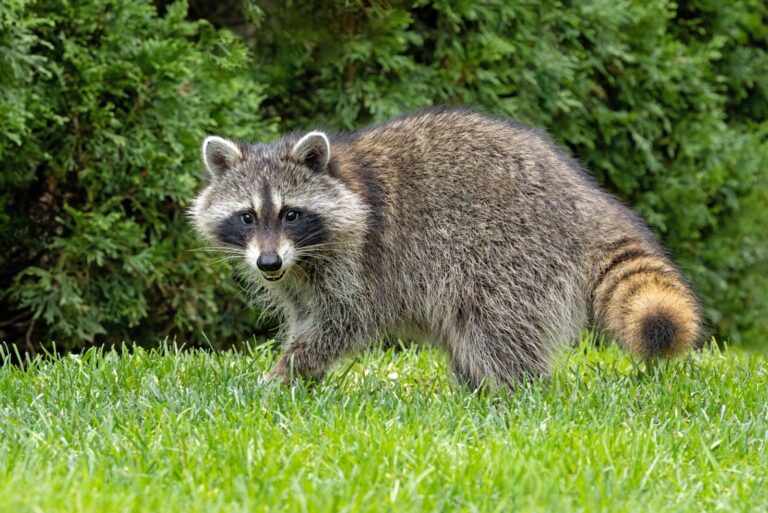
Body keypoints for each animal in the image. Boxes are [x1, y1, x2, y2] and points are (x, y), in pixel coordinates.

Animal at [189, 107, 702, 388]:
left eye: (291, 214)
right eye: (247, 217)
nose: (268, 261)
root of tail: (585, 199)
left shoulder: (361, 261)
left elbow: (345, 321)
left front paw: (284, 374)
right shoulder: (298, 276)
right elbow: (309, 314)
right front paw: (294, 374)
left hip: (514, 252)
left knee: (496, 328)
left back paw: (516, 392)